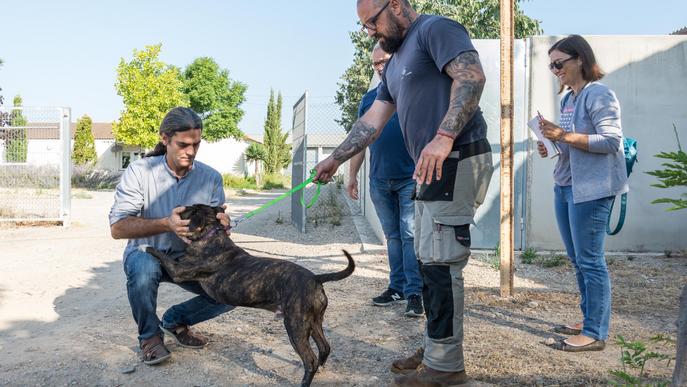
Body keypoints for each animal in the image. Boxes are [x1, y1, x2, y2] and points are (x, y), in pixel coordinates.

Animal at [140, 205, 354, 386]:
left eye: (189, 208)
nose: (176, 208)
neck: (210, 235)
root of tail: (316, 278)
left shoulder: (178, 271)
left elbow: (161, 255)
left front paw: (143, 247)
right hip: (314, 322)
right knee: (325, 347)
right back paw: (322, 368)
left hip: (296, 325)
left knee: (310, 360)